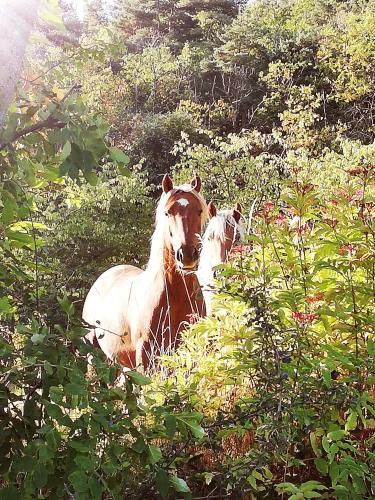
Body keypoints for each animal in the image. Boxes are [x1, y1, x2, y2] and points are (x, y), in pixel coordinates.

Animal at [81, 173, 209, 372]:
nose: (187, 255)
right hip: (94, 358)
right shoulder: (146, 357)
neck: (175, 297)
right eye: (167, 212)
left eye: (199, 211)